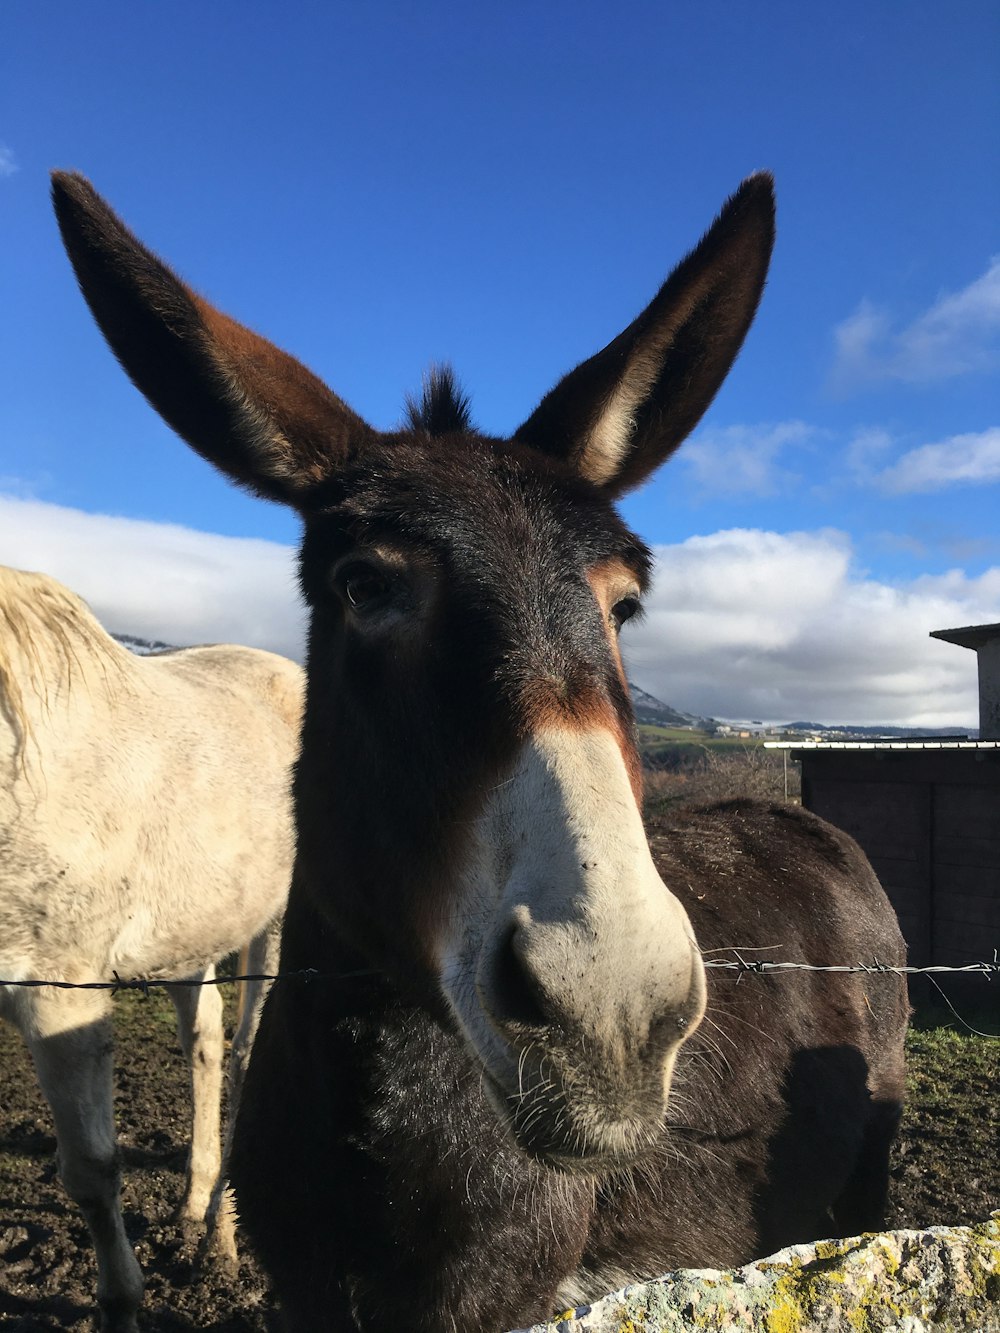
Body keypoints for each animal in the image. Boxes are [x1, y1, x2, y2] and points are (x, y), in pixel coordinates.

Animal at [0, 565, 301, 1333]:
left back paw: (220, 1243)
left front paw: (120, 1304)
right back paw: (194, 1208)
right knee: (206, 1044)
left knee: (248, 1053)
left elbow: (91, 1170)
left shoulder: (58, 995)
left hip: (277, 926)